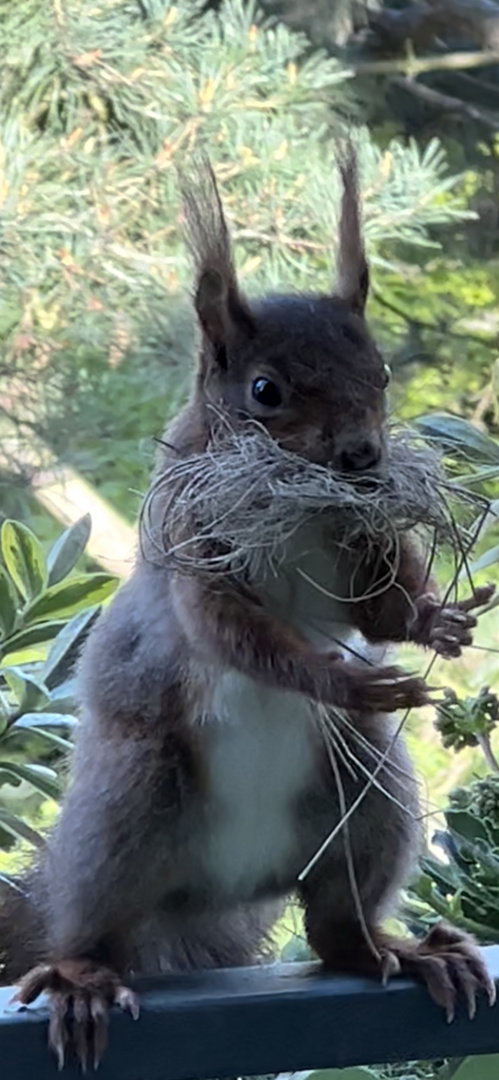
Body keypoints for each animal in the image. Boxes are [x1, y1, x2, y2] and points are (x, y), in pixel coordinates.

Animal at [0, 152, 494, 1071]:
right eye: (265, 390)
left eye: (380, 374)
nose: (363, 455)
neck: (297, 504)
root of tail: (218, 893)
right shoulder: (189, 544)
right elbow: (229, 632)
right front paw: (339, 680)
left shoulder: (357, 533)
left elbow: (382, 610)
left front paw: (436, 622)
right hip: (131, 800)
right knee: (92, 924)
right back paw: (82, 979)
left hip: (366, 798)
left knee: (336, 924)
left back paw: (399, 952)